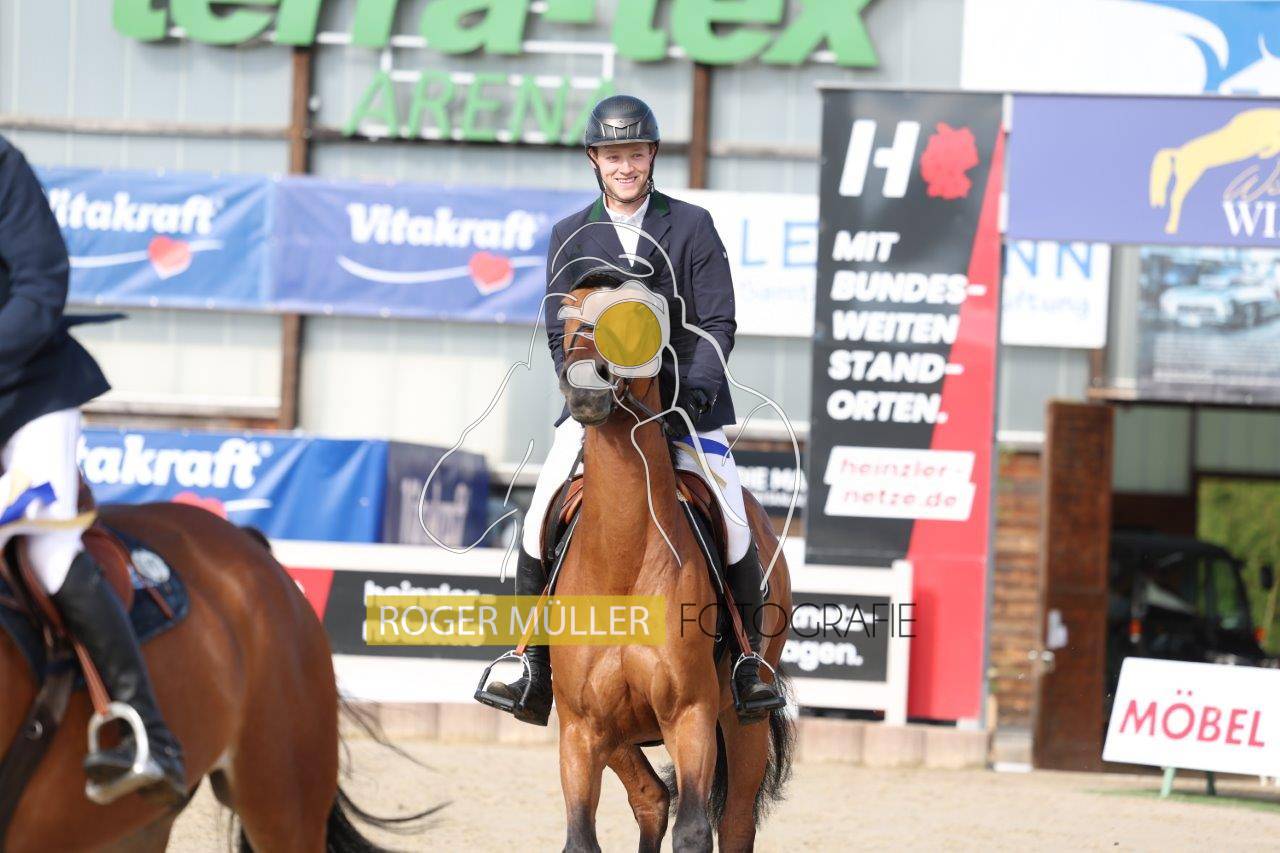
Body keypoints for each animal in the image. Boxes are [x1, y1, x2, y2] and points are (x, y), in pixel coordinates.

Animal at [551, 280, 795, 853]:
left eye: (636, 324)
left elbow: (693, 831)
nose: (586, 390)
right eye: (567, 323)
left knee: (734, 821)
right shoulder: (581, 726)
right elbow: (582, 837)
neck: (622, 559)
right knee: (650, 798)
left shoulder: (690, 715)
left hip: (741, 719)